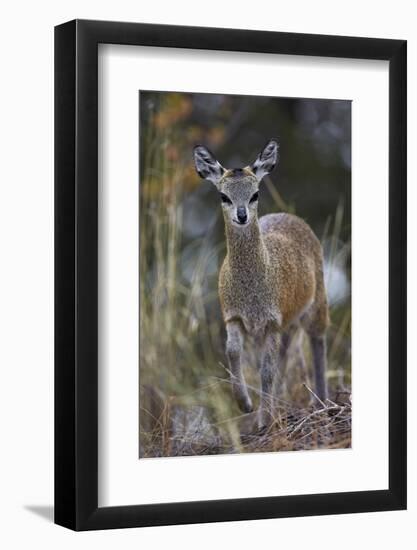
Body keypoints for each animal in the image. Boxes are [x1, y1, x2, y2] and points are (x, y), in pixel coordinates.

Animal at [193, 139, 330, 432]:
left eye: (255, 193)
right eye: (224, 196)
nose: (242, 215)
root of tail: (292, 217)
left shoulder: (271, 321)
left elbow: (266, 371)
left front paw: (263, 420)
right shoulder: (233, 316)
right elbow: (234, 352)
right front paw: (246, 405)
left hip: (316, 303)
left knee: (317, 338)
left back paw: (322, 402)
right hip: (289, 323)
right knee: (287, 354)